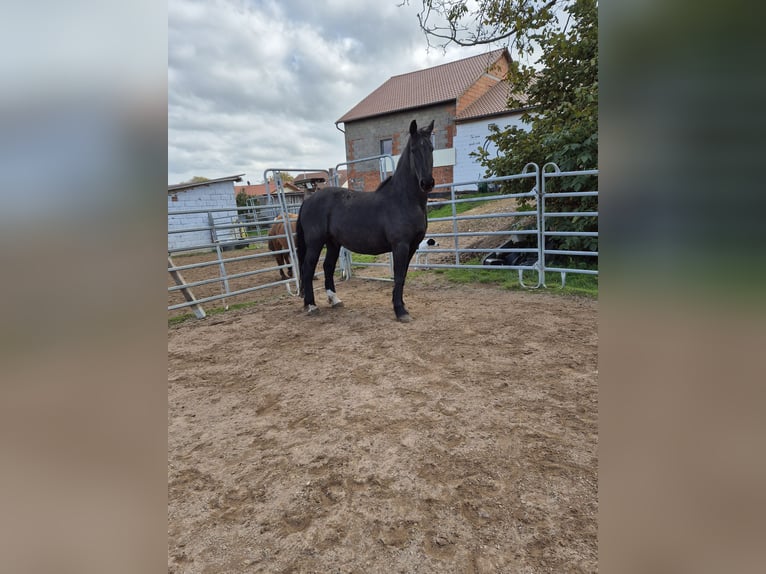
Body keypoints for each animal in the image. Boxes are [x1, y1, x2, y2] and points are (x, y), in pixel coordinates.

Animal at [296, 119, 435, 322]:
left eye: (431, 148)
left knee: (327, 266)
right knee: (308, 268)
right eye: (414, 149)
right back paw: (312, 305)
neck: (403, 199)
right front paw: (400, 311)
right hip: (315, 242)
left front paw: (402, 306)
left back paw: (334, 300)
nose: (427, 183)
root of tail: (308, 201)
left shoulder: (412, 247)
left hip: (333, 243)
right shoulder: (400, 246)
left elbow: (403, 277)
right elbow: (399, 276)